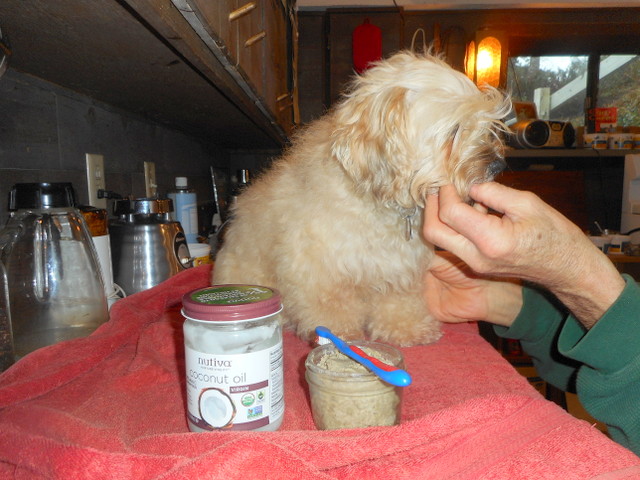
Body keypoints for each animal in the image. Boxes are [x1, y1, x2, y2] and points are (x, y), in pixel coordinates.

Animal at [214, 52, 510, 344]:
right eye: (454, 130)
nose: (498, 165)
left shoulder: (399, 271)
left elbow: (399, 302)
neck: (381, 205)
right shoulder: (319, 269)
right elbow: (330, 305)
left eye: (484, 126)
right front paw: (338, 334)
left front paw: (408, 328)